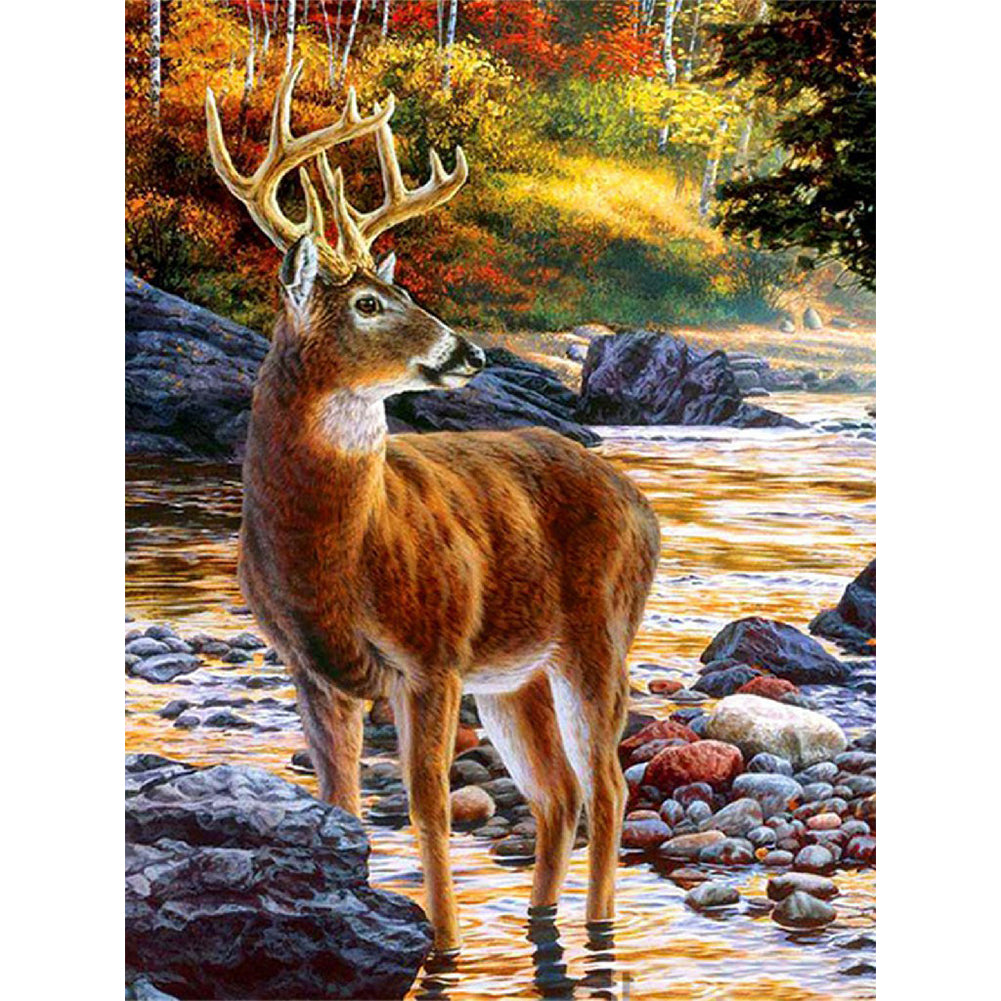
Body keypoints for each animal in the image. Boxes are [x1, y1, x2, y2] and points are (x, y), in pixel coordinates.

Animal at [206, 63, 660, 957]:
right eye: (368, 304)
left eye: (402, 287)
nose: (469, 351)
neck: (337, 553)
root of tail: (641, 506)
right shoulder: (311, 669)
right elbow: (340, 806)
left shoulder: (432, 654)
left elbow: (427, 809)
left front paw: (442, 947)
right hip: (516, 673)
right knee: (558, 792)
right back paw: (539, 919)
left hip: (598, 636)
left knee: (609, 787)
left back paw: (595, 930)